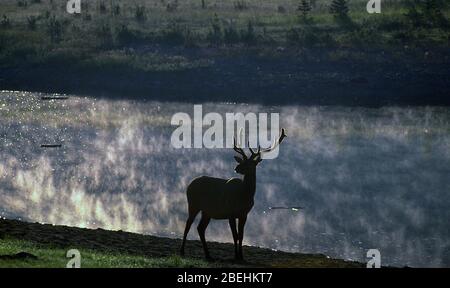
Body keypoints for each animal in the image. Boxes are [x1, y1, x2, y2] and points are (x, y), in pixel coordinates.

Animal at [178, 129, 286, 260]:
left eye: (250, 164)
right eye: (242, 161)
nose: (236, 168)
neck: (244, 196)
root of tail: (189, 185)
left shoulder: (244, 214)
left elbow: (241, 235)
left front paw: (242, 257)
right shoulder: (230, 212)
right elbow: (234, 235)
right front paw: (236, 256)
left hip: (207, 211)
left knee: (200, 228)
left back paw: (208, 255)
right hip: (193, 204)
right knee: (188, 224)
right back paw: (182, 251)